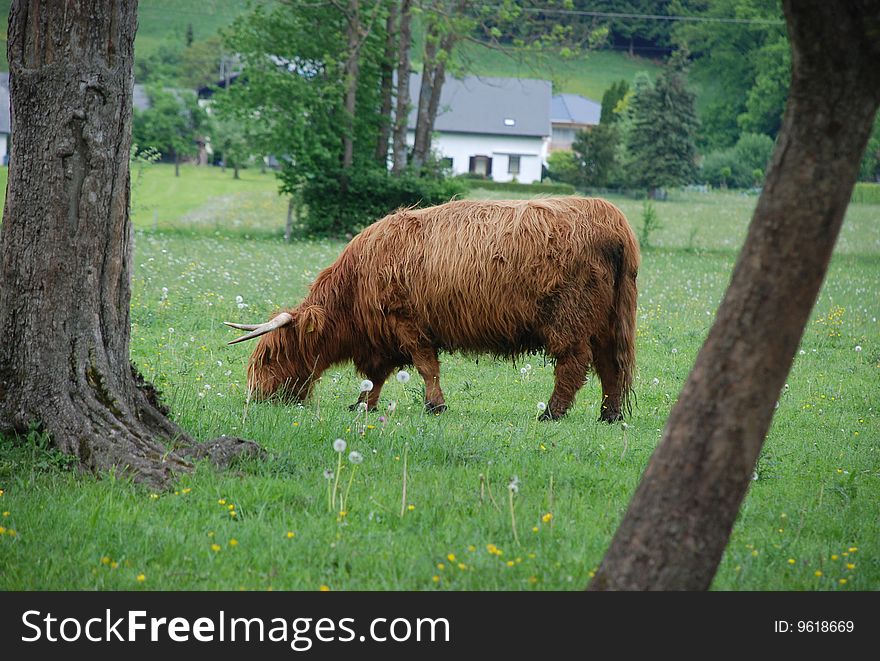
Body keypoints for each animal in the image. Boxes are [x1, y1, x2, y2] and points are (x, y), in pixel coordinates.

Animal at [225, 199, 640, 420]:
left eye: (269, 358)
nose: (255, 398)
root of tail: (611, 218)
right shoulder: (382, 340)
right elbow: (376, 377)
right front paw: (363, 405)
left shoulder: (407, 323)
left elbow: (426, 366)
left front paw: (435, 405)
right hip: (609, 321)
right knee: (610, 365)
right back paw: (609, 414)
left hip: (569, 318)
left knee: (574, 363)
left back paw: (551, 412)